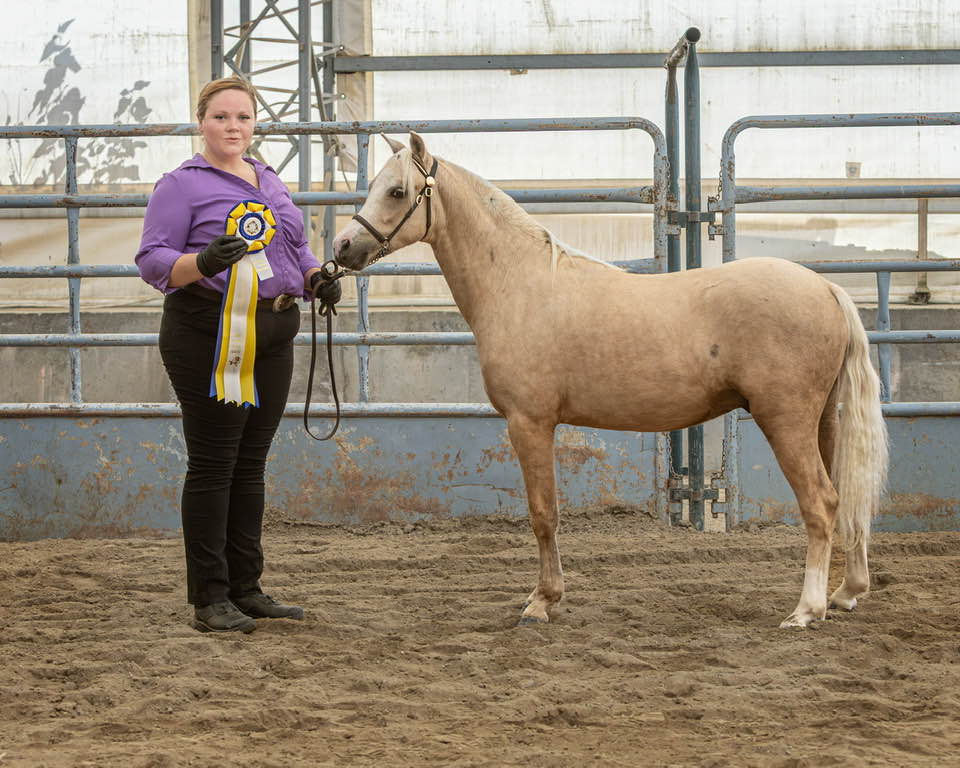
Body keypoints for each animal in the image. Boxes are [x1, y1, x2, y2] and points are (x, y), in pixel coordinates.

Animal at [331, 132, 889, 629]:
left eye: (396, 192)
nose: (342, 247)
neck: (520, 283)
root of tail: (825, 287)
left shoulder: (529, 423)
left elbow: (543, 513)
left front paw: (542, 602)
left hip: (786, 421)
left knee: (820, 503)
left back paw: (806, 610)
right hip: (822, 422)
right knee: (844, 497)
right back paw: (846, 592)